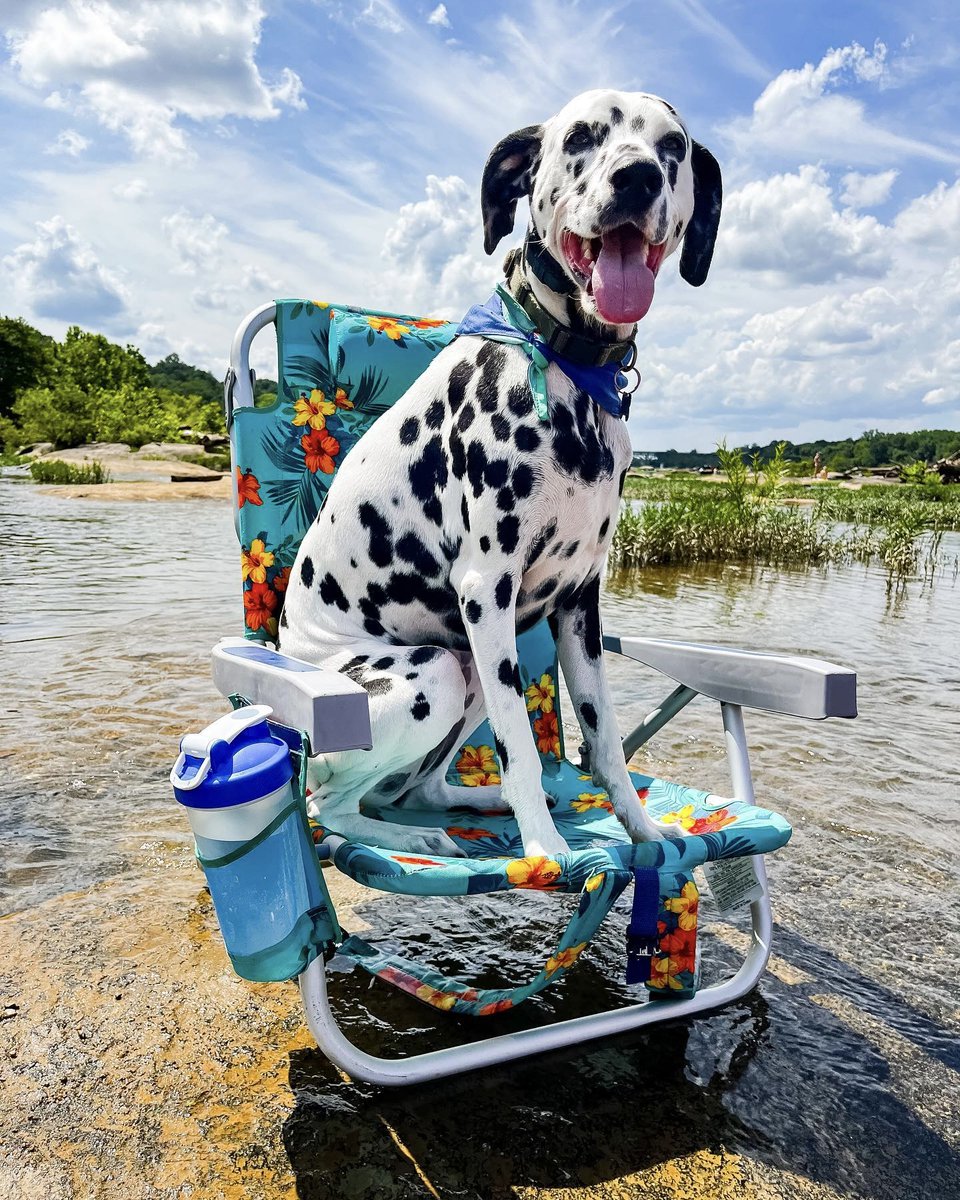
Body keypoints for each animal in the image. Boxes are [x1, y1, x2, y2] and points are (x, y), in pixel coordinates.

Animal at [277, 91, 720, 864]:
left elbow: (605, 740)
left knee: (415, 787)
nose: (636, 178)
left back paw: (468, 806)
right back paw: (421, 837)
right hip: (432, 671)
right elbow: (519, 745)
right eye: (581, 137)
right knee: (331, 806)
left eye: (673, 147)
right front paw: (548, 851)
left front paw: (641, 830)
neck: (570, 371)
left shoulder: (579, 605)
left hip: (469, 668)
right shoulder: (487, 591)